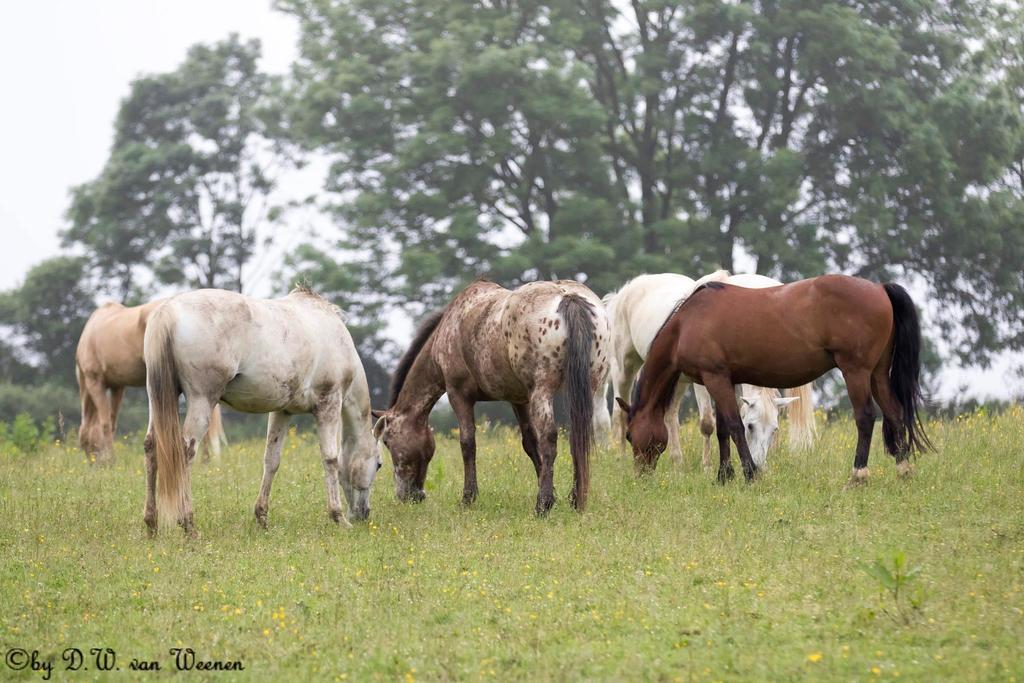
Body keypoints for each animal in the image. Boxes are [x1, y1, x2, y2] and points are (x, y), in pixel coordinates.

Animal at [75, 301, 226, 462]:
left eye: (87, 445)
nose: (95, 463)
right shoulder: (118, 386)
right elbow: (112, 421)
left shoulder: (95, 382)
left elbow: (105, 424)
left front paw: (111, 459)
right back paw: (206, 460)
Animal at [142, 286, 382, 536]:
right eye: (379, 464)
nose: (363, 514)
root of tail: (168, 311)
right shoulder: (329, 403)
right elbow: (331, 459)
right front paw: (338, 517)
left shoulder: (282, 412)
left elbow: (271, 460)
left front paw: (262, 517)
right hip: (202, 401)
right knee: (185, 452)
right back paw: (188, 524)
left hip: (158, 397)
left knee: (151, 447)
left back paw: (152, 524)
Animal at [376, 278, 614, 511]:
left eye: (387, 441)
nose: (408, 496)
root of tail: (568, 297)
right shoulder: (519, 399)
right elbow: (530, 443)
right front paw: (548, 487)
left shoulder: (458, 395)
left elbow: (468, 444)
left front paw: (468, 497)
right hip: (586, 389)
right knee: (577, 439)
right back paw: (577, 499)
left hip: (543, 390)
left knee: (549, 438)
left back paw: (543, 504)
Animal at [598, 270, 815, 466]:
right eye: (750, 426)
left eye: (774, 429)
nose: (760, 466)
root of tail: (623, 293)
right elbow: (707, 424)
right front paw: (708, 466)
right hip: (624, 367)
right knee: (620, 412)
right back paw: (621, 458)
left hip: (677, 380)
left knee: (669, 415)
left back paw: (677, 463)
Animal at [618, 274, 933, 483]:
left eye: (630, 434)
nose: (641, 476)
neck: (688, 321)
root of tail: (879, 288)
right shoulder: (722, 379)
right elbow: (723, 429)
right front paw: (724, 476)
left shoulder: (714, 377)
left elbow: (733, 426)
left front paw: (749, 474)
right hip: (878, 373)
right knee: (894, 413)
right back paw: (904, 471)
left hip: (856, 371)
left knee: (866, 417)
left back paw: (858, 475)